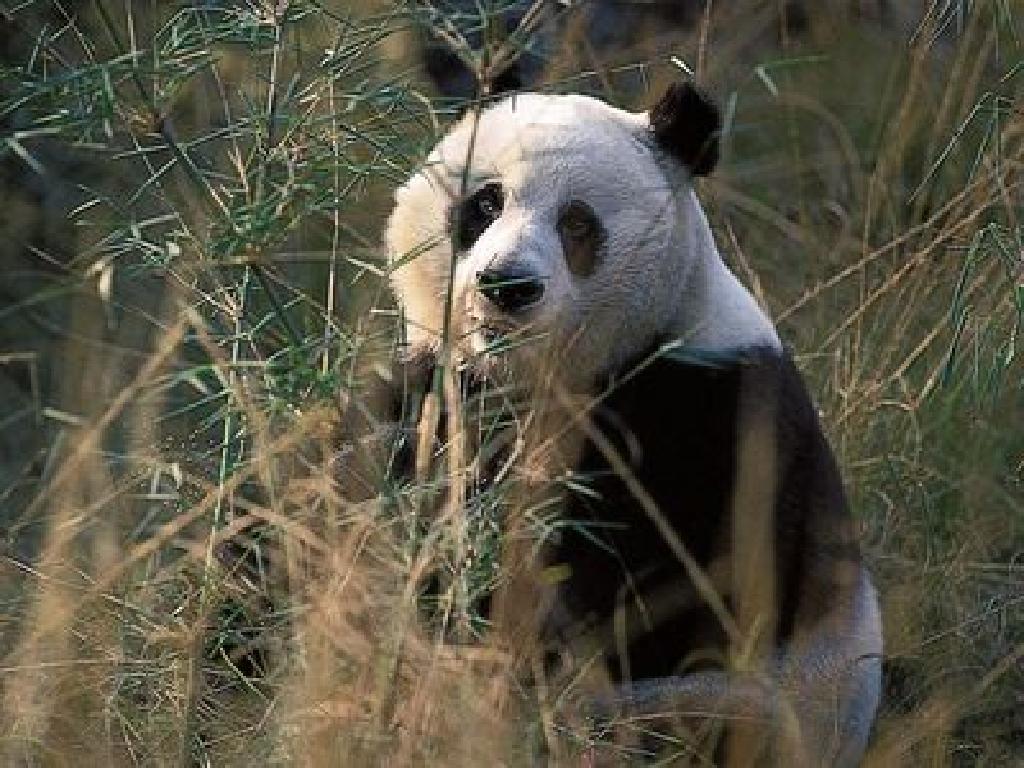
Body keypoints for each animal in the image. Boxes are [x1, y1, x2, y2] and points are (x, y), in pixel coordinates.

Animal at [382, 81, 880, 765]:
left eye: (577, 222)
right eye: (485, 202)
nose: (507, 285)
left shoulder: (703, 414)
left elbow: (669, 598)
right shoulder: (448, 393)